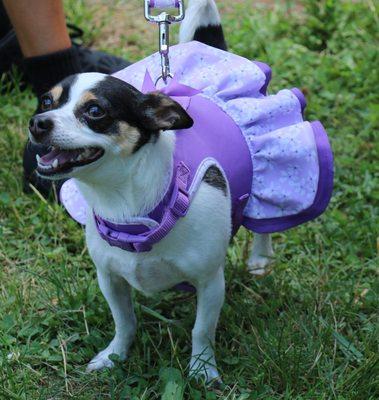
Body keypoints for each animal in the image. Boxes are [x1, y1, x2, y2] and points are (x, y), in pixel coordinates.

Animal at [28, 0, 334, 382]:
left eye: (95, 111)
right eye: (45, 102)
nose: (38, 123)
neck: (129, 204)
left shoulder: (210, 282)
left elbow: (201, 330)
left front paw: (202, 369)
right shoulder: (110, 278)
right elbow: (124, 321)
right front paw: (115, 355)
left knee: (265, 221)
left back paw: (261, 259)